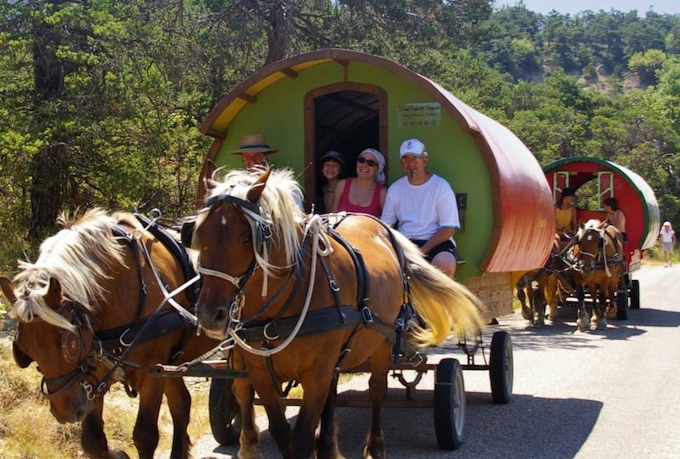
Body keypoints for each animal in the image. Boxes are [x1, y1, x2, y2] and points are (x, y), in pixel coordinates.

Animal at [0, 209, 218, 459]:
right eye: (25, 349)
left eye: (70, 345)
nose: (66, 412)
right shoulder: (92, 373)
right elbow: (93, 441)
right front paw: (119, 454)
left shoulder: (153, 372)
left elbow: (145, 436)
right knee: (182, 403)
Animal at [189, 169, 486, 459]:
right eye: (200, 235)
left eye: (246, 238)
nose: (209, 314)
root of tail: (383, 228)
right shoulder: (260, 370)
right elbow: (280, 431)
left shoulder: (317, 370)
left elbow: (301, 439)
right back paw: (327, 447)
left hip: (384, 339)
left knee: (377, 390)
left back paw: (375, 447)